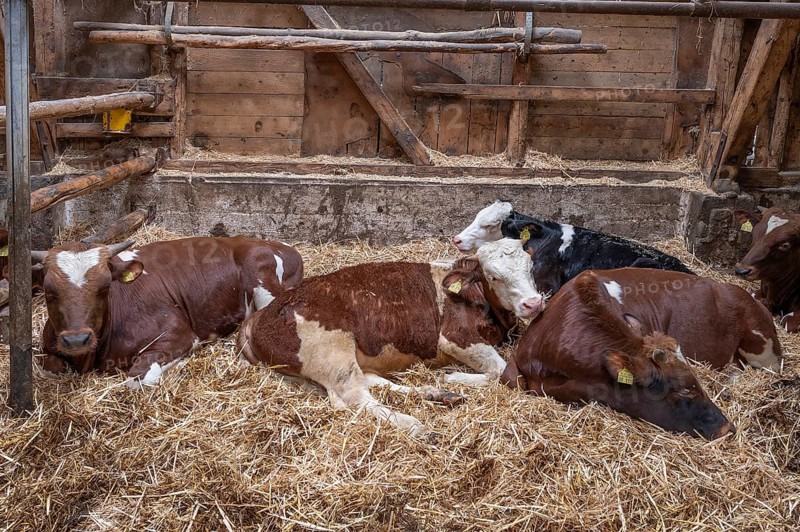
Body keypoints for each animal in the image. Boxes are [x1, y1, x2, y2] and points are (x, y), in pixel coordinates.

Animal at [34, 237, 303, 386]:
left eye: (105, 286)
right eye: (49, 290)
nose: (76, 339)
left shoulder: (178, 333)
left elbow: (138, 379)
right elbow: (51, 367)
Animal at [237, 238, 545, 438]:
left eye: (531, 268)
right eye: (493, 277)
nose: (533, 303)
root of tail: (259, 317)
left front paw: (448, 383)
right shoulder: (456, 337)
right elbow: (503, 373)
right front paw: (453, 376)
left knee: (370, 383)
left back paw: (436, 394)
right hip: (332, 352)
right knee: (356, 396)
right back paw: (416, 425)